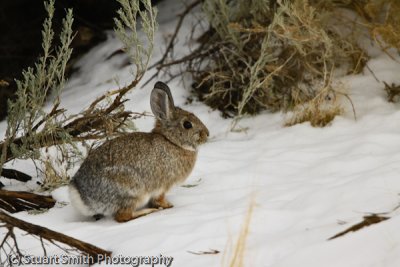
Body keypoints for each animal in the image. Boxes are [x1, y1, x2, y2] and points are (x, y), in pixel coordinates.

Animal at [68, 81, 209, 222]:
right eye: (187, 125)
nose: (207, 134)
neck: (171, 141)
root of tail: (82, 197)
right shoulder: (162, 186)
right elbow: (159, 199)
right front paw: (167, 205)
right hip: (133, 192)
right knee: (123, 216)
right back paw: (147, 211)